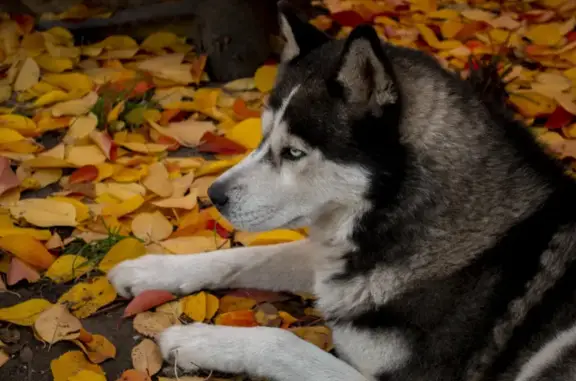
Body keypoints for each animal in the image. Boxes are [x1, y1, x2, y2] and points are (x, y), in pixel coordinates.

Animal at [106, 3, 576, 380]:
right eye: (263, 137)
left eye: (294, 152)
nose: (214, 195)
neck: (399, 214)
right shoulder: (335, 270)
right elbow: (247, 255)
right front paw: (148, 270)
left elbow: (282, 342)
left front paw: (198, 341)